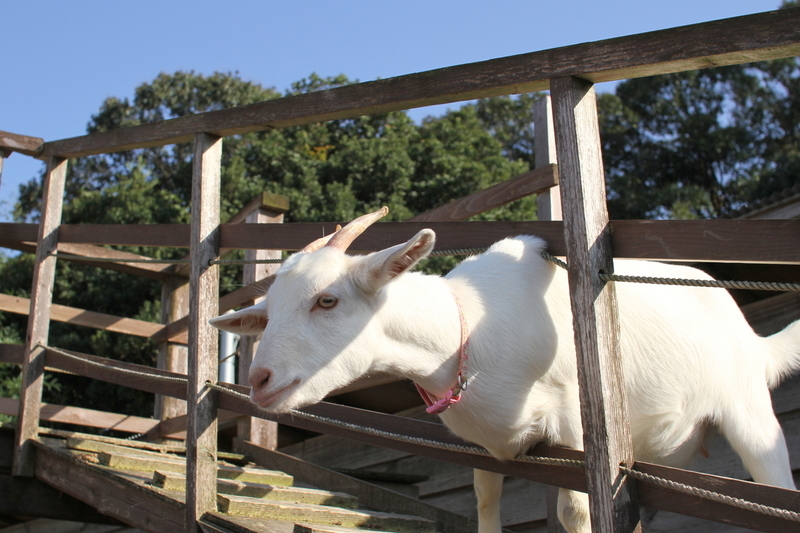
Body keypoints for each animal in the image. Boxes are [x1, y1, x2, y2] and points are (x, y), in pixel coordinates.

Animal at [211, 208, 800, 532]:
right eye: (267, 314)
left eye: (327, 300)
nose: (259, 381)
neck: (468, 331)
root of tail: (753, 339)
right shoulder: (485, 449)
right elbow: (486, 506)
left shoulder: (578, 432)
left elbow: (578, 512)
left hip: (748, 410)